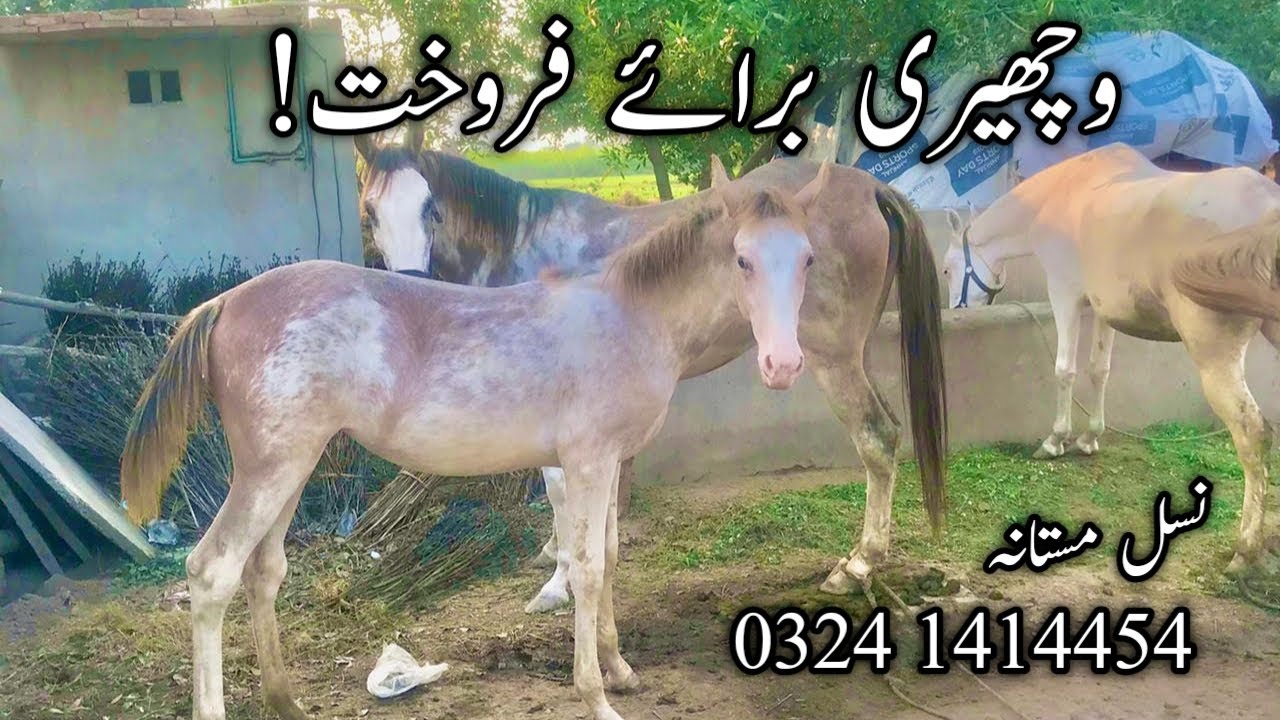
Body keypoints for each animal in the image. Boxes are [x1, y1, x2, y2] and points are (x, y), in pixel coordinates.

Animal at [359, 148, 949, 611]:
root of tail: (870, 186)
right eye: (370, 211)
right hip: (856, 354)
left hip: (832, 359)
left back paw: (857, 567)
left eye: (432, 210)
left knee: (877, 440)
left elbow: (558, 490)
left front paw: (559, 583)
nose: (405, 282)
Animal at [944, 142, 1280, 573]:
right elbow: (1099, 370)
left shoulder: (1065, 295)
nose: (956, 310)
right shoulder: (1105, 311)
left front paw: (1056, 440)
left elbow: (1066, 370)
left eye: (948, 268)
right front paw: (1090, 438)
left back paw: (1246, 548)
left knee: (1252, 434)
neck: (1063, 195)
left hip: (1216, 356)